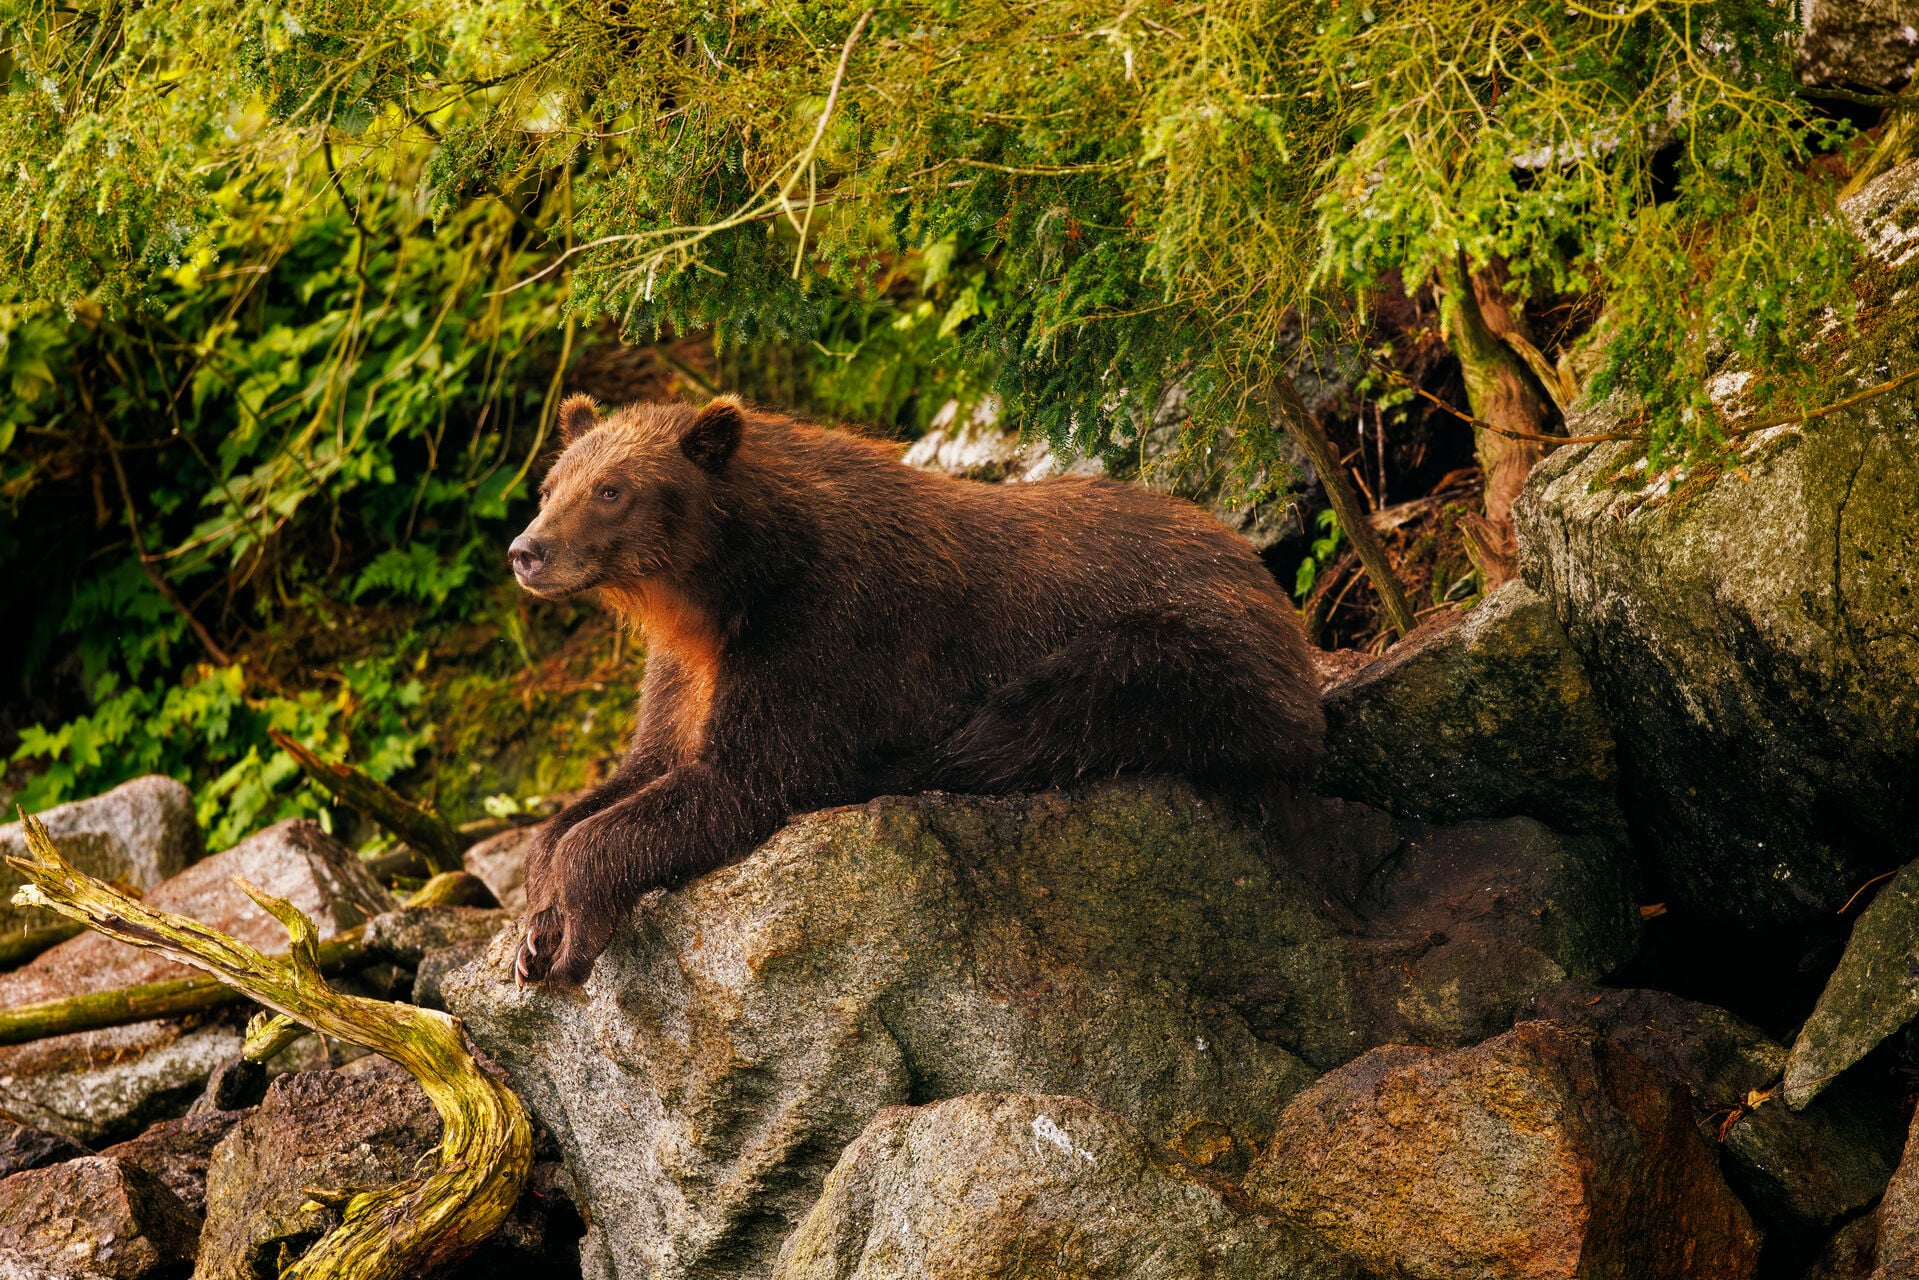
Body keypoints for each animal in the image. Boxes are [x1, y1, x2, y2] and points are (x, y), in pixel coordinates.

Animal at [507, 394, 1325, 986]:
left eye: (611, 489)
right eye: (551, 485)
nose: (526, 550)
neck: (724, 585)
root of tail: (1268, 581)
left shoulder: (822, 625)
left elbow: (747, 777)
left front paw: (573, 927)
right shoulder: (686, 672)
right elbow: (631, 776)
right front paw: (537, 926)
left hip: (1174, 649)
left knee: (1041, 714)